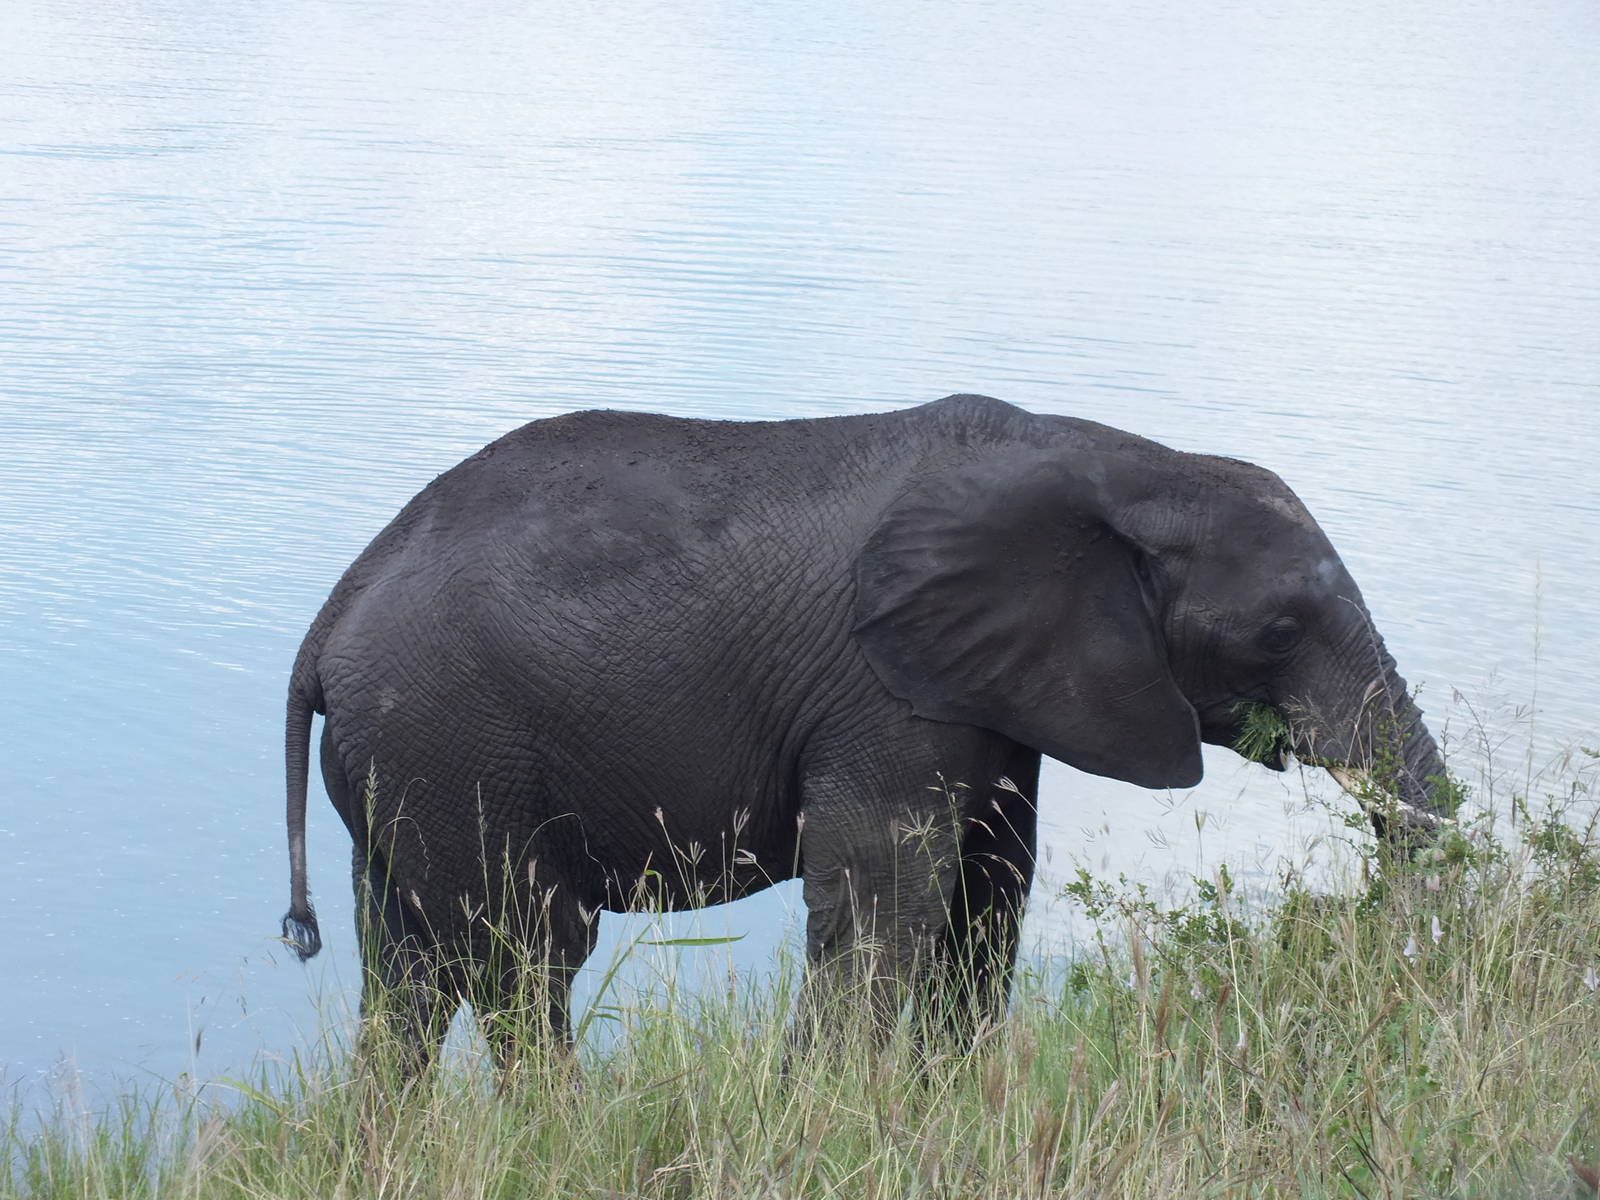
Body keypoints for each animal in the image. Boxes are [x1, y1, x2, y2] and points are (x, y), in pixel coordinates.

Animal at [279, 393, 1448, 1070]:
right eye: (1278, 632)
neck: (1125, 463)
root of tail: (327, 623)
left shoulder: (988, 682)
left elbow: (990, 890)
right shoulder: (883, 689)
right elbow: (886, 899)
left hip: (407, 766)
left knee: (408, 973)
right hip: (453, 745)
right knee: (527, 959)